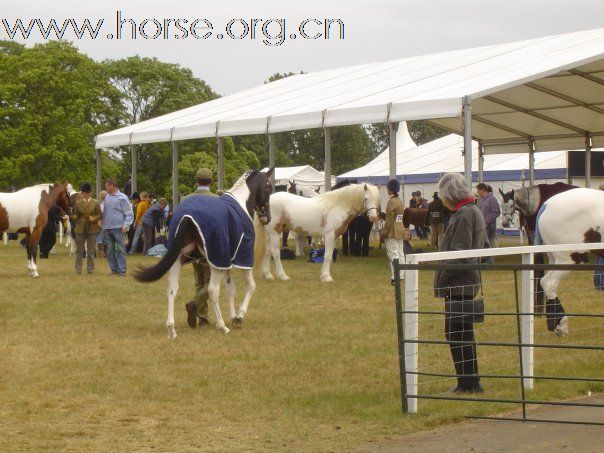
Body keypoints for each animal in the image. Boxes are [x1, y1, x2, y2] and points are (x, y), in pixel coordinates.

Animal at [135, 169, 274, 336]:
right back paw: (222, 326)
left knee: (172, 289)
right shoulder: (241, 259)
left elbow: (230, 289)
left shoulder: (225, 263)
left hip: (179, 260)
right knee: (212, 290)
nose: (267, 217)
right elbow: (251, 286)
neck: (241, 203)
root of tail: (187, 215)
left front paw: (233, 316)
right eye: (268, 188)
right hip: (214, 263)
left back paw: (172, 329)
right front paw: (239, 317)